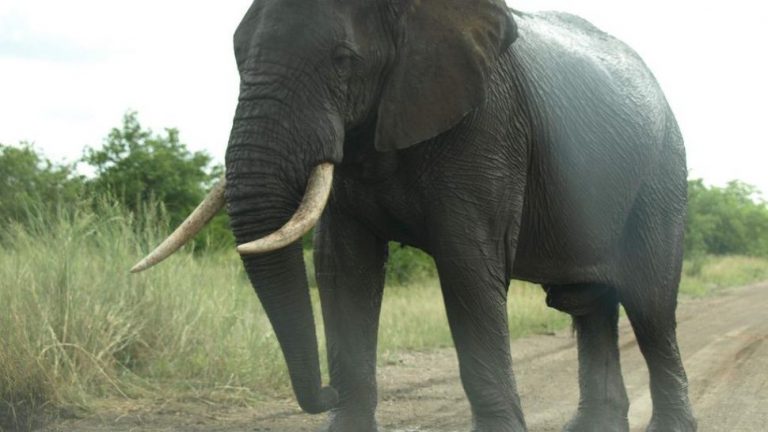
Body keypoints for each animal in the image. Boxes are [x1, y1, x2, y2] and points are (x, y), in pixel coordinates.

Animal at [132, 0, 696, 431]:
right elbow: (343, 270)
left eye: (343, 59)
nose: (325, 391)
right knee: (590, 307)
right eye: (236, 56)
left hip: (662, 177)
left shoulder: (487, 126)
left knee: (650, 311)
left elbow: (469, 269)